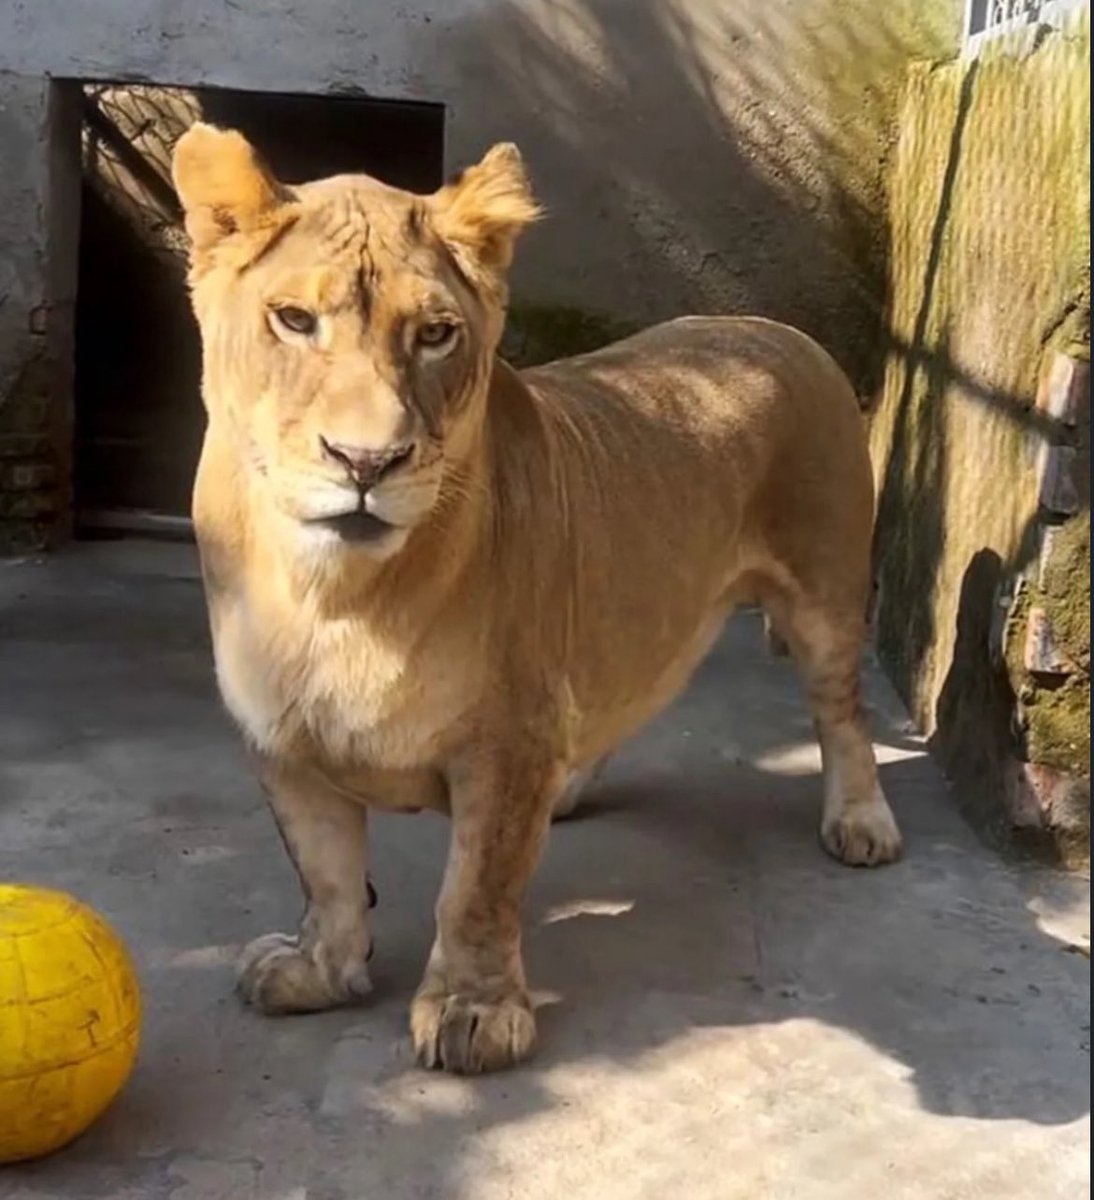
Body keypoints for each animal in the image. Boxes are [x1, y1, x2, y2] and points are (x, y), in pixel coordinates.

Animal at [171, 123, 902, 1075]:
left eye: (436, 334)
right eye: (293, 320)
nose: (367, 462)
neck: (328, 592)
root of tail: (770, 325)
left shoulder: (507, 742)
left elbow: (474, 889)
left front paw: (473, 1012)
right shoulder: (278, 739)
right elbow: (325, 871)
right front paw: (319, 970)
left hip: (825, 592)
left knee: (842, 712)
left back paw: (862, 821)